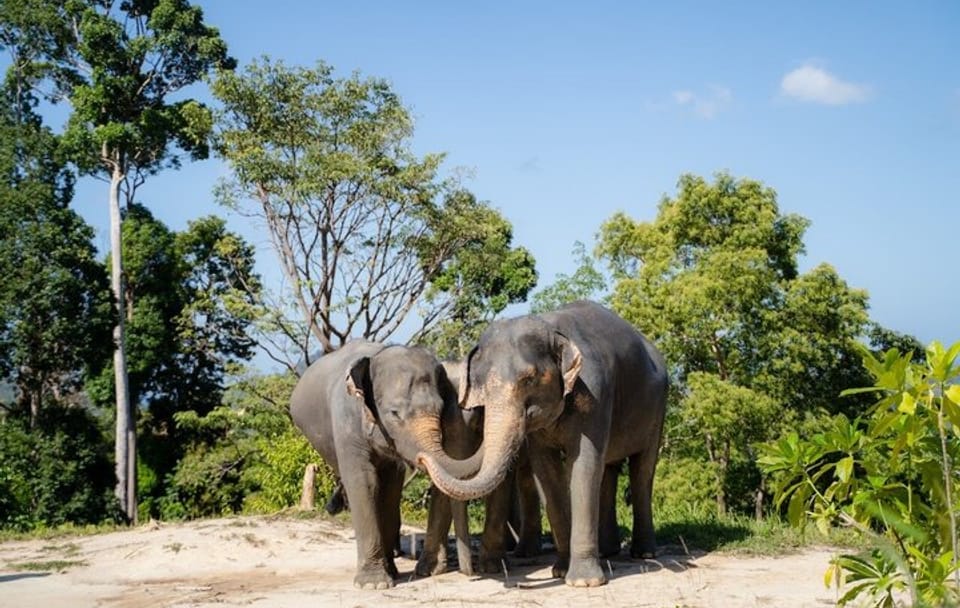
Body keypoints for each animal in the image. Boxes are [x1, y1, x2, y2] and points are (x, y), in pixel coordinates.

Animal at [290, 341, 481, 589]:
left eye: (440, 410)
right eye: (394, 413)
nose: (471, 574)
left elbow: (390, 488)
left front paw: (390, 574)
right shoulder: (347, 422)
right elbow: (365, 482)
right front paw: (374, 584)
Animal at [419, 301, 668, 587]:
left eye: (529, 379)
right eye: (481, 384)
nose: (422, 458)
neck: (550, 326)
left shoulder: (595, 392)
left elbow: (583, 466)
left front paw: (584, 582)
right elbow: (546, 472)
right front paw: (560, 571)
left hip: (658, 407)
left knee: (642, 470)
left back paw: (644, 553)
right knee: (610, 468)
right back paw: (608, 551)